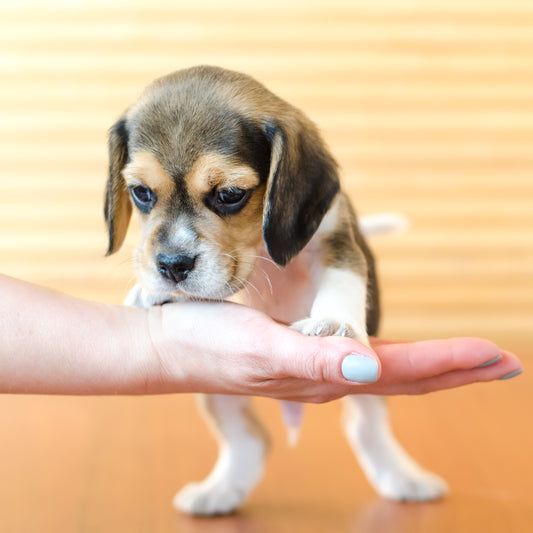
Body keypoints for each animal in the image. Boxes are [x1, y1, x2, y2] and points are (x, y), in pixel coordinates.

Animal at [103, 64, 444, 512]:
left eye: (230, 194)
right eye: (141, 193)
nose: (172, 267)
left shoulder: (336, 242)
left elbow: (340, 284)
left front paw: (334, 323)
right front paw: (150, 291)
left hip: (368, 395)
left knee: (365, 428)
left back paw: (404, 479)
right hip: (217, 392)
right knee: (249, 441)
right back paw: (222, 490)